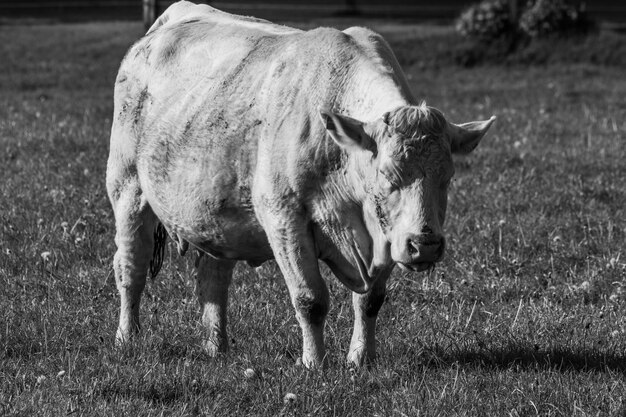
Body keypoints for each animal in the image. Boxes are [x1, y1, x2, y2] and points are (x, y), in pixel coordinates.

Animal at [106, 0, 492, 368]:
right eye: (386, 173)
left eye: (448, 177)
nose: (425, 245)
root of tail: (168, 20)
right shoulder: (284, 218)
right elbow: (311, 299)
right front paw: (313, 363)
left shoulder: (384, 233)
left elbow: (370, 300)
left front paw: (361, 359)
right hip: (127, 188)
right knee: (131, 267)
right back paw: (127, 338)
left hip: (215, 215)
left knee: (213, 278)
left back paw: (216, 347)